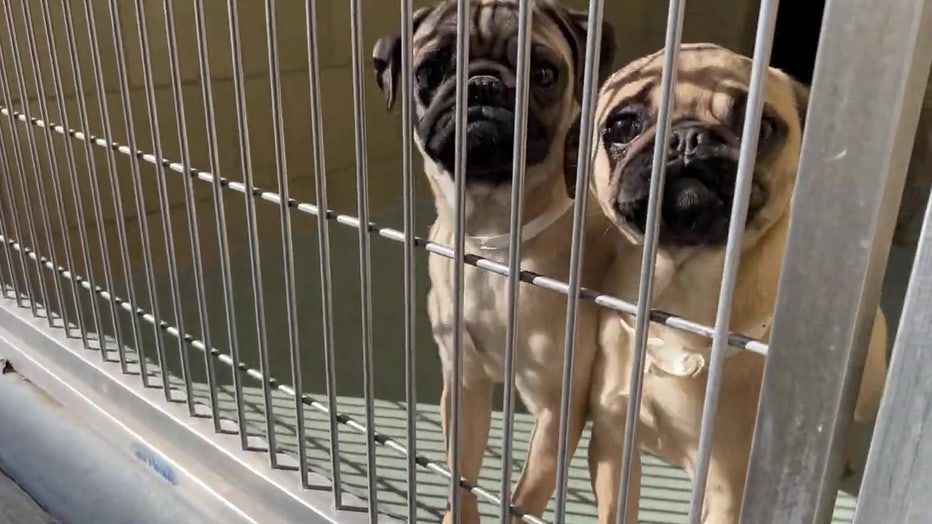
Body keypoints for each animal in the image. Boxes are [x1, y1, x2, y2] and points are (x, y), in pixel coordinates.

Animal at [372, 2, 620, 520]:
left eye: (543, 73)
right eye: (431, 72)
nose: (482, 84)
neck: (492, 242)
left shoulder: (557, 406)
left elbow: (526, 495)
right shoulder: (463, 384)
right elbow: (462, 476)